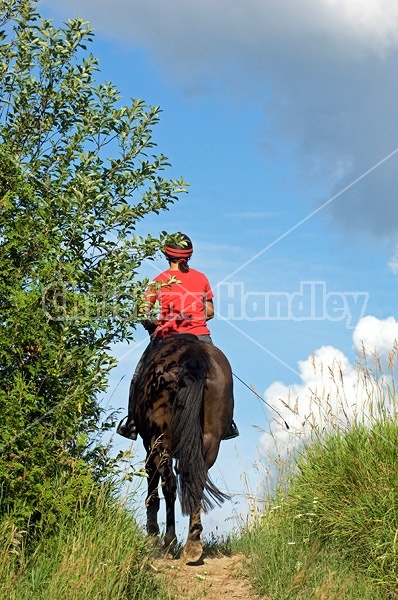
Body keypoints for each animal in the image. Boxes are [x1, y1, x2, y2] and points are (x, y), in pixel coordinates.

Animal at [129, 332, 232, 564]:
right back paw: (193, 544)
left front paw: (152, 533)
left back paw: (170, 541)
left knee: (169, 484)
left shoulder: (149, 444)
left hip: (160, 440)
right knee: (196, 481)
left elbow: (151, 480)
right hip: (210, 440)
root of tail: (193, 356)